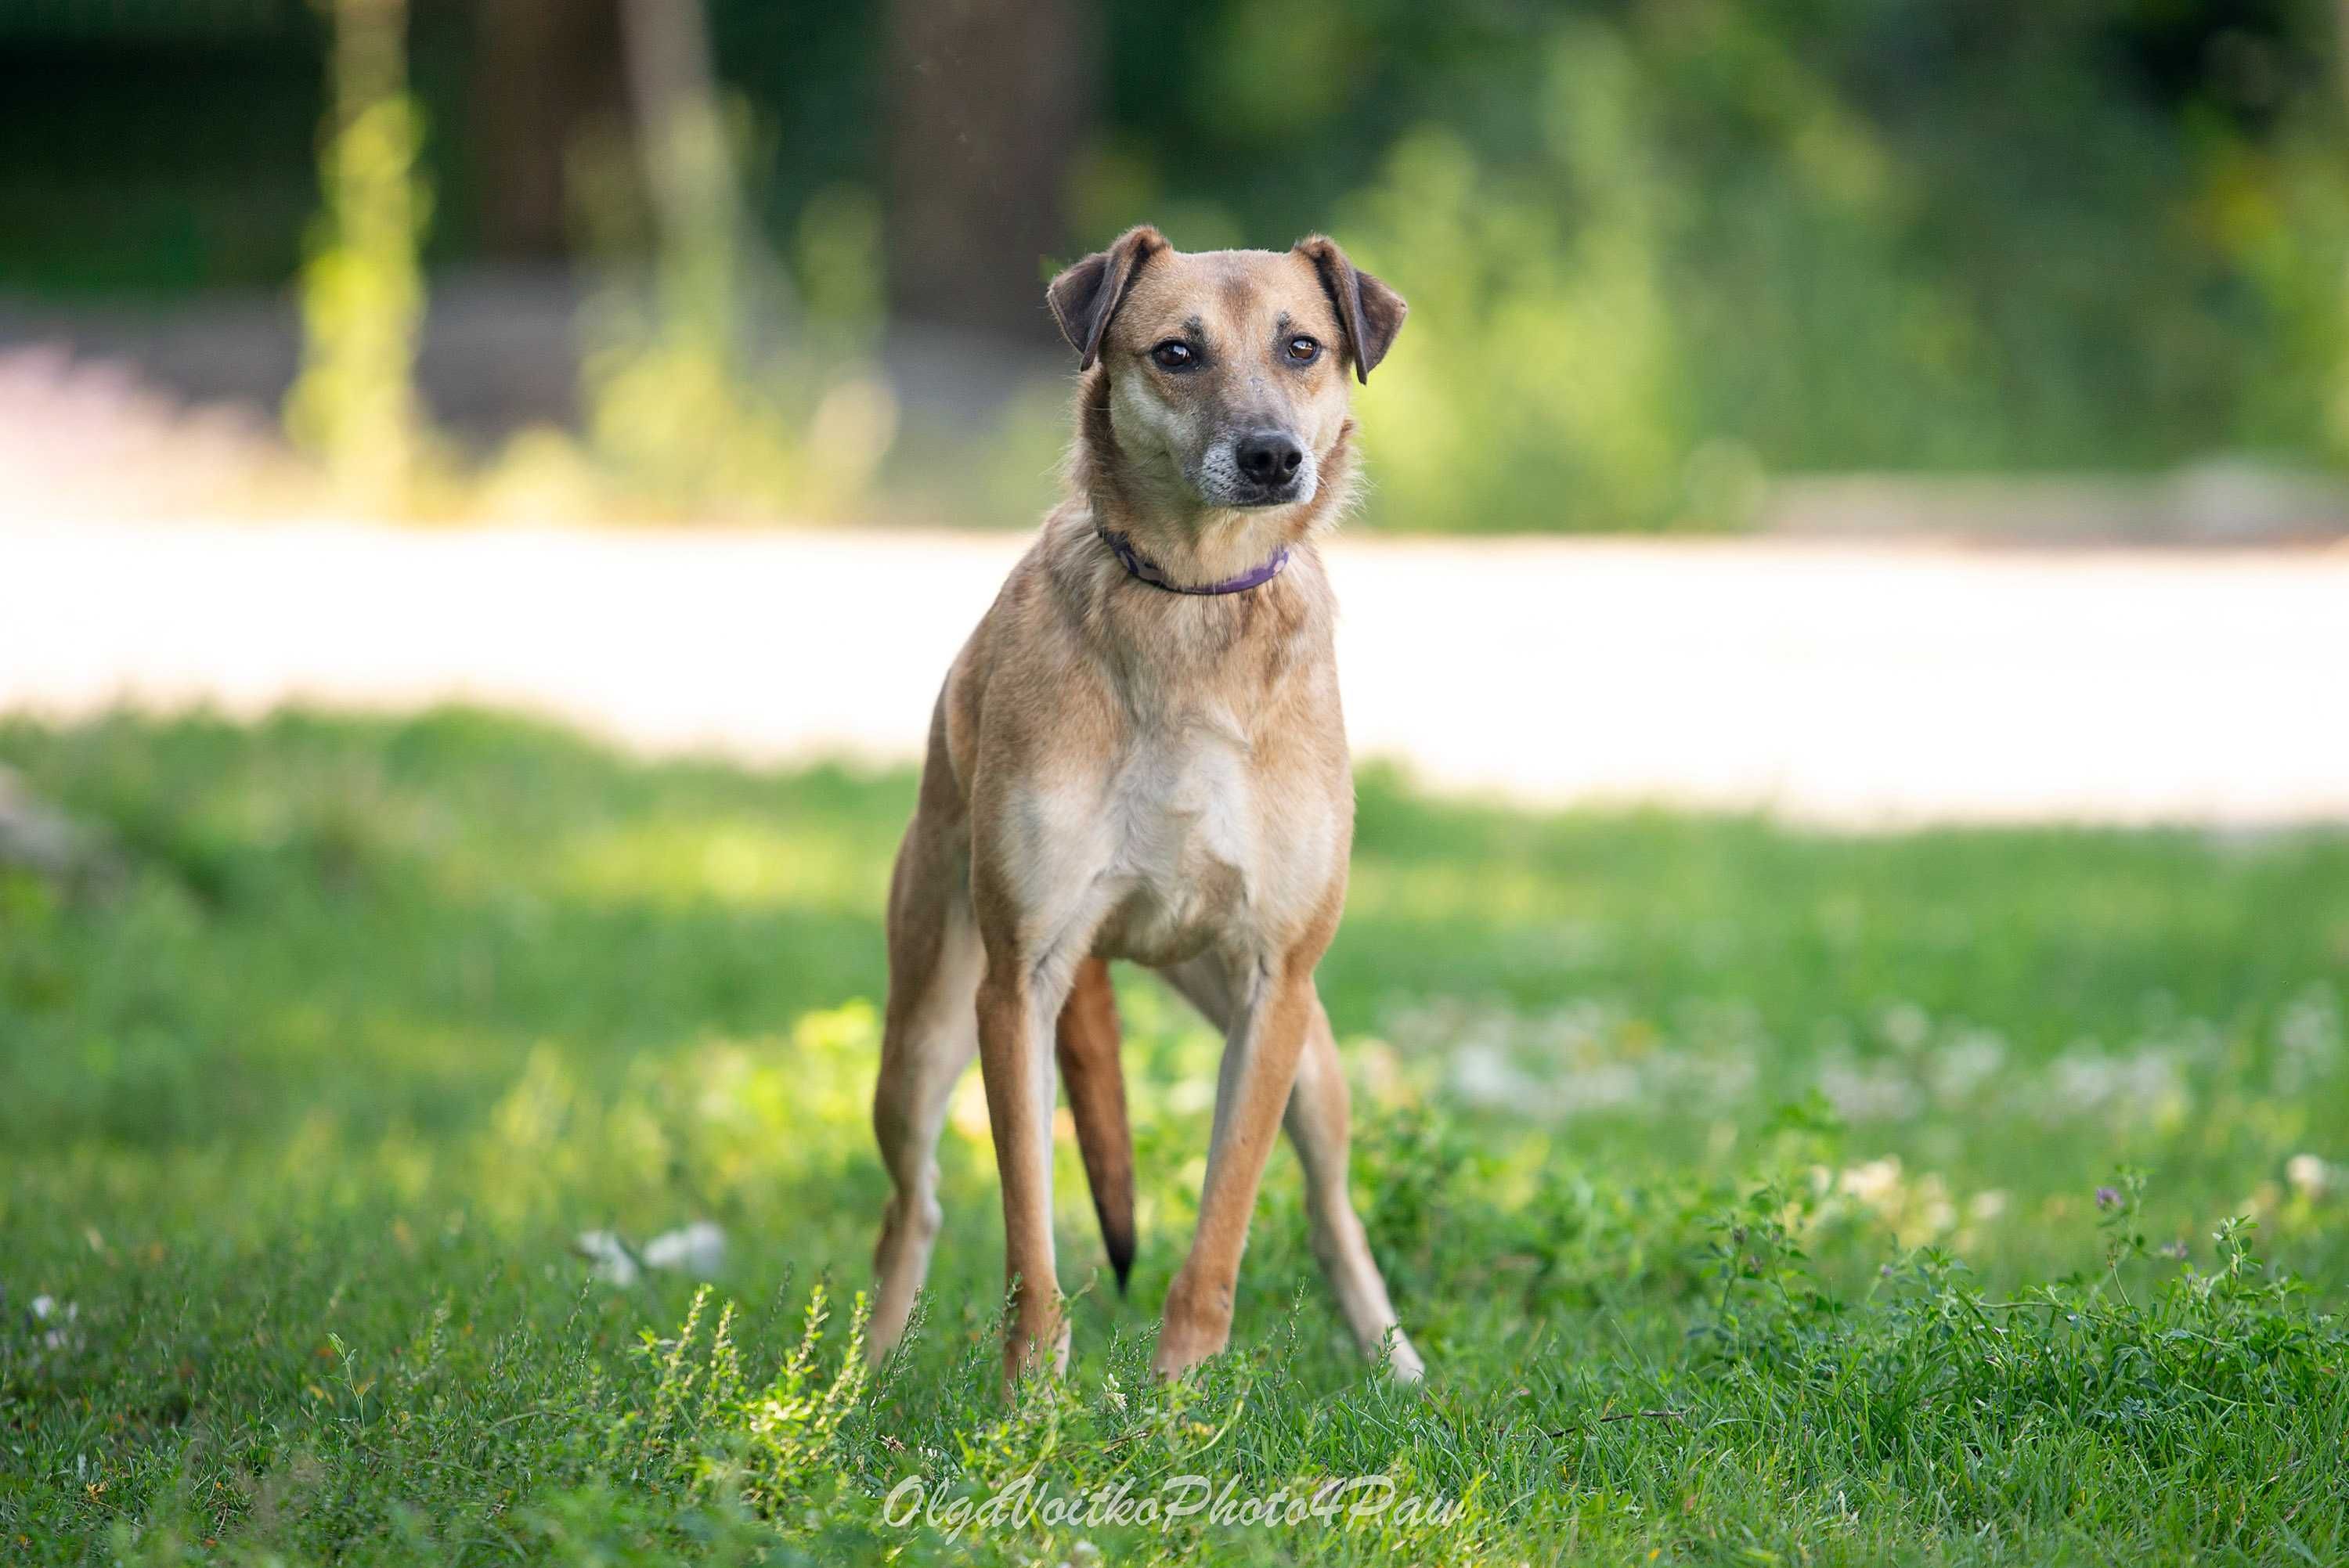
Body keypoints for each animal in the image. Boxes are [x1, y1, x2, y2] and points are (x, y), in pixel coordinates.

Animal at [864, 222, 1409, 1380]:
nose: (1271, 456)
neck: (1192, 597)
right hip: (922, 1027)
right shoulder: (1016, 983)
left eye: (1303, 346)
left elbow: (1221, 1232)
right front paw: (1034, 1393)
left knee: (1332, 1205)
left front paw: (1179, 1395)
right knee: (911, 1204)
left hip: (1313, 1059)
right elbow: (1029, 1231)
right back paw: (866, 1371)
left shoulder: (1275, 986)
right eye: (1176, 353)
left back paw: (1396, 1362)